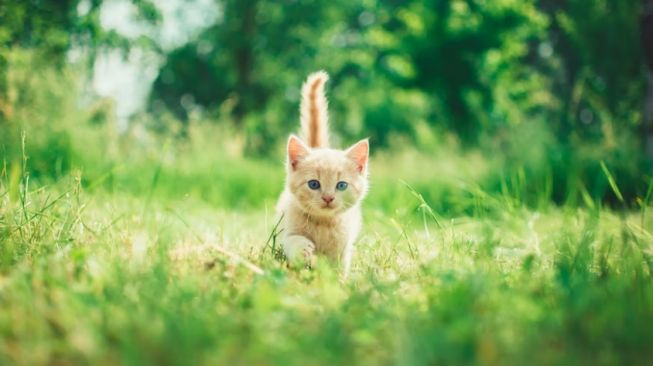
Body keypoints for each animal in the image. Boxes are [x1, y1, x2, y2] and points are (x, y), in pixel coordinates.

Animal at [274, 69, 366, 278]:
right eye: (314, 184)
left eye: (341, 185)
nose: (328, 198)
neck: (322, 224)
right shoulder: (286, 229)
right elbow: (291, 240)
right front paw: (302, 249)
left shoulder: (343, 248)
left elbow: (338, 269)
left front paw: (337, 283)